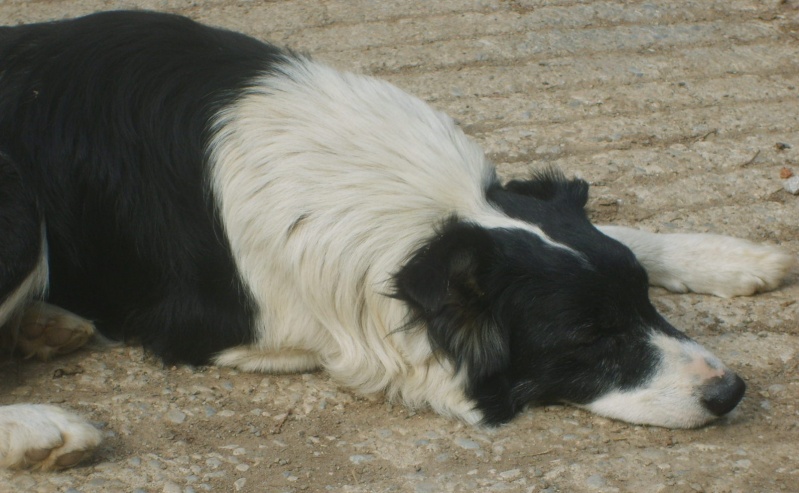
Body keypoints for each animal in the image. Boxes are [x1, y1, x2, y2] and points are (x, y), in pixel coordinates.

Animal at [0, 9, 796, 468]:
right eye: (588, 337)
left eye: (642, 304)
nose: (728, 390)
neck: (422, 210)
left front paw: (726, 256)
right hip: (20, 211)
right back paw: (42, 430)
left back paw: (46, 326)